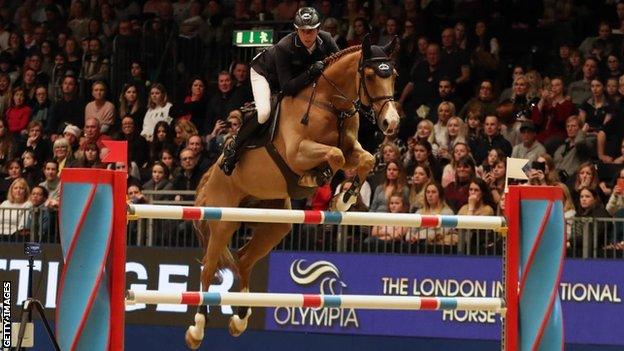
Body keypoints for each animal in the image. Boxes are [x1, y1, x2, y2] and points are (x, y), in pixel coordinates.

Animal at [185, 35, 400, 350]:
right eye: (371, 76)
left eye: (393, 75)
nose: (391, 123)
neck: (330, 103)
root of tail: (210, 173)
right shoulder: (299, 152)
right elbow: (334, 156)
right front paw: (320, 179)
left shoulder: (353, 148)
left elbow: (365, 160)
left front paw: (342, 199)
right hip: (224, 219)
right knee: (209, 268)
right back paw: (197, 329)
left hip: (276, 222)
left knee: (243, 259)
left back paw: (240, 319)